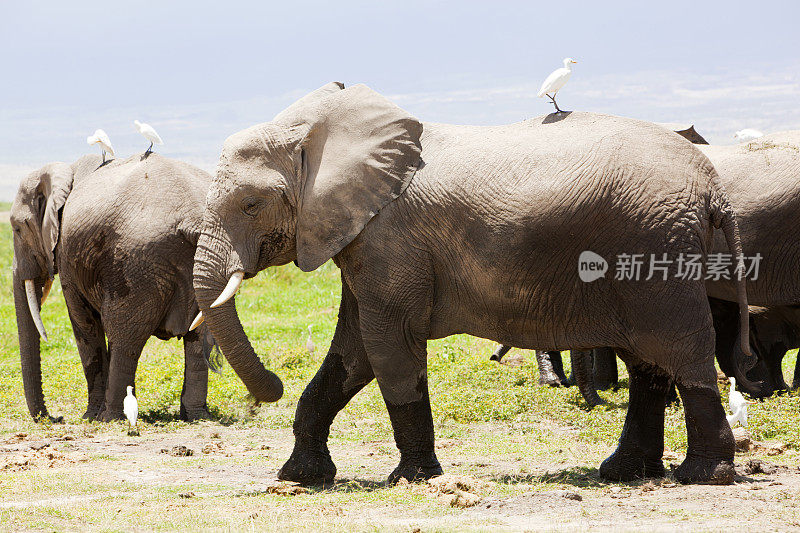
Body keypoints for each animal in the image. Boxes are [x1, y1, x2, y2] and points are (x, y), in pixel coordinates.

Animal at [12, 153, 219, 420]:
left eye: (17, 229)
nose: (55, 418)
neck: (66, 172)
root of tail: (194, 218)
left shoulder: (68, 257)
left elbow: (84, 324)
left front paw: (89, 417)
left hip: (136, 264)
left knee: (124, 338)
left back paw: (110, 418)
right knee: (198, 339)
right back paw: (195, 416)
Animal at [192, 81, 752, 484]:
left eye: (249, 204)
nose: (270, 388)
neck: (315, 132)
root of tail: (711, 186)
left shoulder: (389, 237)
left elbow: (387, 344)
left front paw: (412, 478)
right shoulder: (362, 237)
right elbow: (354, 351)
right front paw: (300, 478)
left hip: (658, 247)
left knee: (680, 347)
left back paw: (704, 475)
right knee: (647, 362)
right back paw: (625, 473)